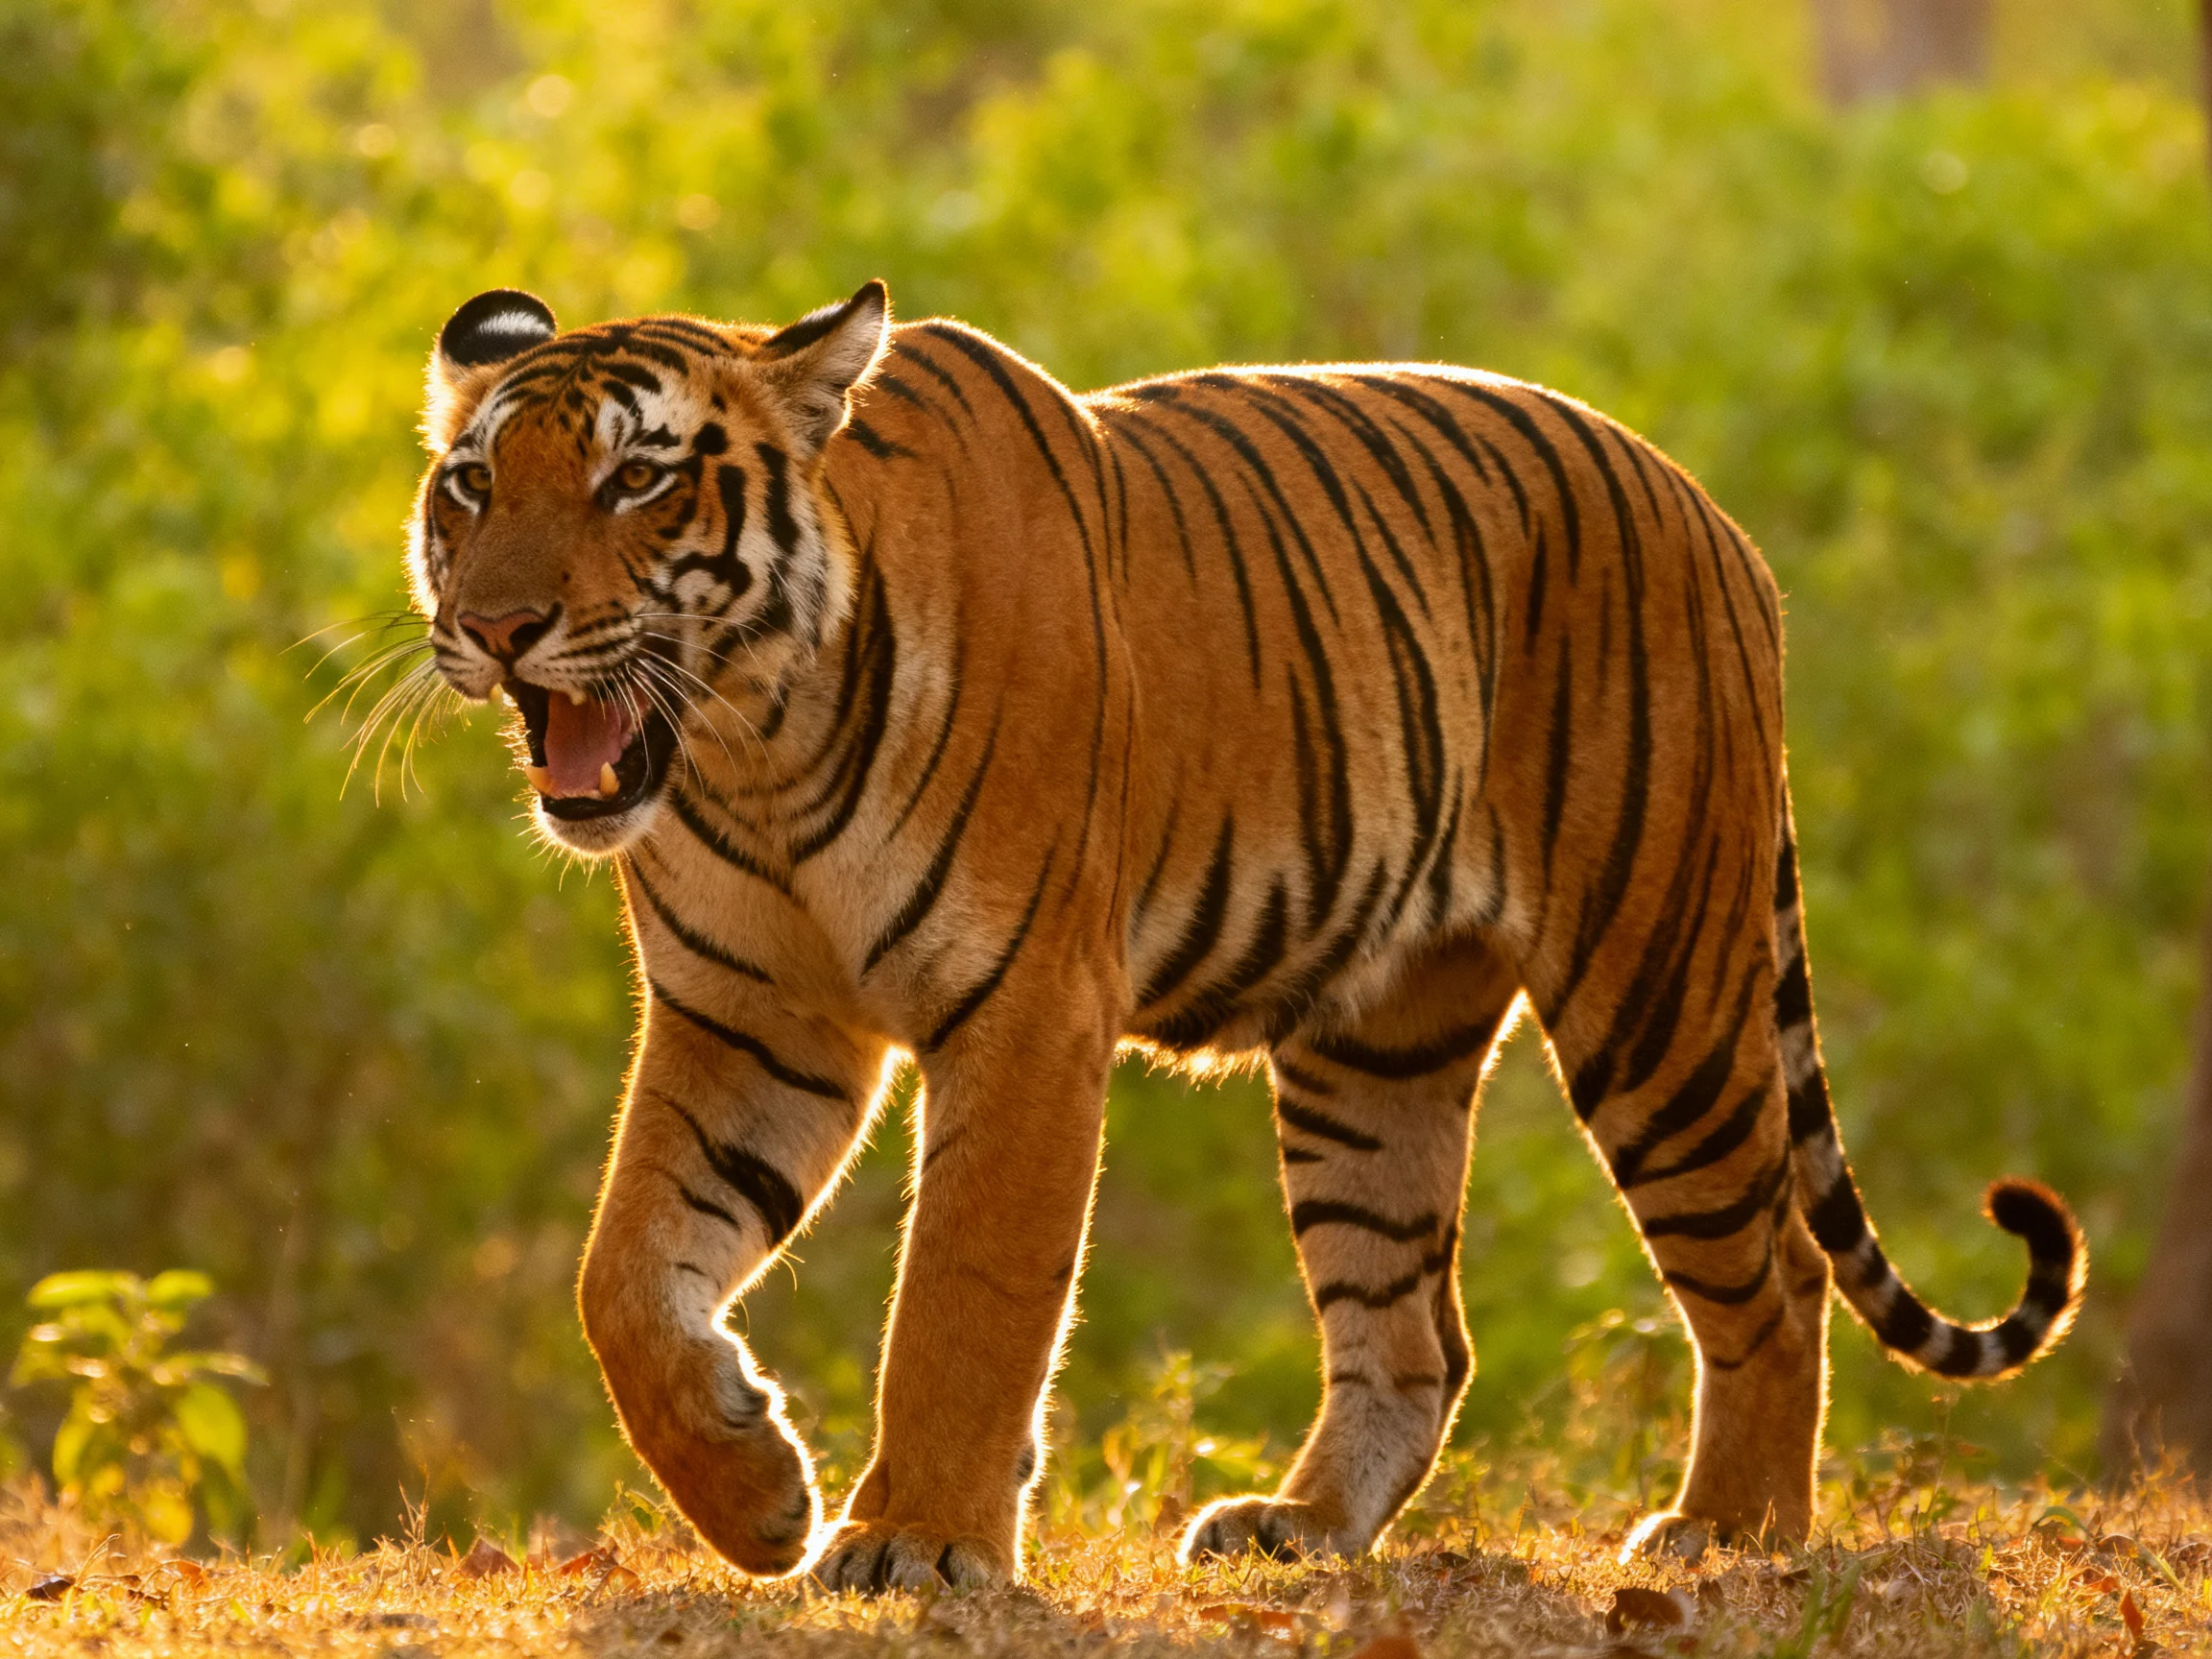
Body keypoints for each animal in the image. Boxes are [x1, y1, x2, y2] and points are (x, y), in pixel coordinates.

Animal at [405, 278, 2085, 1591]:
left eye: (636, 483)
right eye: (472, 488)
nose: (493, 628)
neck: (751, 744)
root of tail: (1710, 512)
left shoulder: (1024, 1009)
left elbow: (966, 1292)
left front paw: (914, 1543)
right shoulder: (755, 1021)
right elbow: (624, 1276)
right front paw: (756, 1498)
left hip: (1656, 984)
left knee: (1773, 1275)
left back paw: (1726, 1534)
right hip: (1378, 1049)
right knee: (1417, 1332)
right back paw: (1301, 1527)